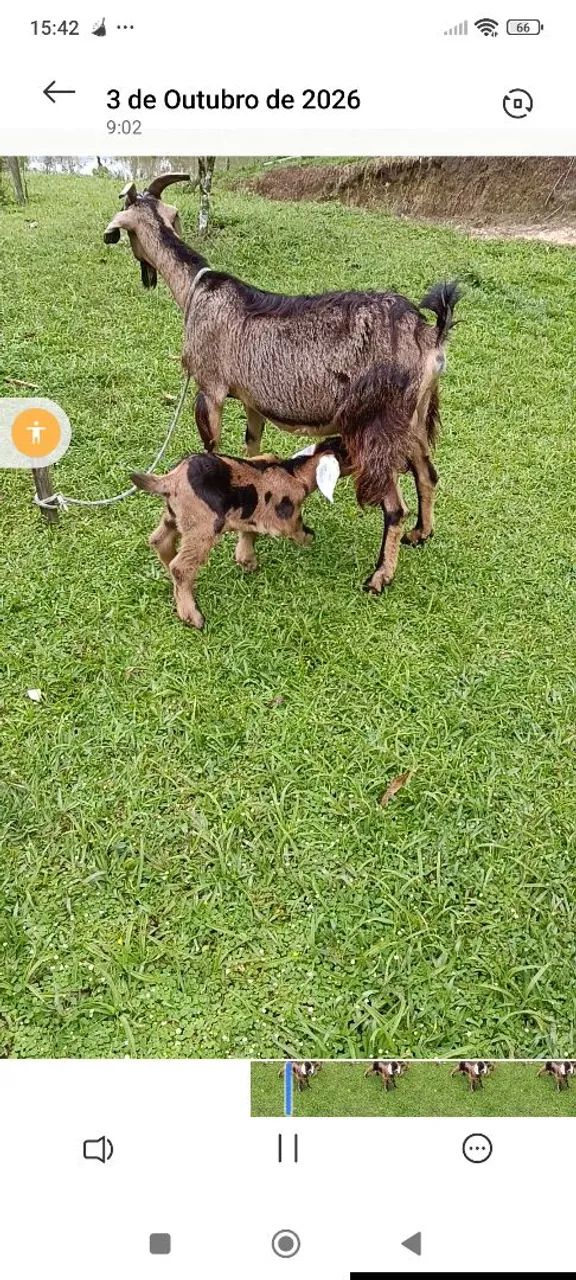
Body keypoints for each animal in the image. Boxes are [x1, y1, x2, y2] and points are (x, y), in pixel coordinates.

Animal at [104, 174, 461, 594]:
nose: (145, 275)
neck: (197, 291)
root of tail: (430, 336)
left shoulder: (209, 390)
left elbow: (212, 446)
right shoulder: (253, 402)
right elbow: (251, 449)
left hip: (376, 424)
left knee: (394, 506)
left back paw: (379, 576)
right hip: (415, 417)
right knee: (427, 473)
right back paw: (421, 534)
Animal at [131, 438, 346, 628]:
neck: (293, 472)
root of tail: (169, 480)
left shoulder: (250, 513)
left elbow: (249, 532)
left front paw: (247, 561)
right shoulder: (288, 517)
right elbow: (300, 530)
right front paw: (309, 541)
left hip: (174, 516)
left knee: (160, 541)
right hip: (203, 526)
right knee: (181, 566)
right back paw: (192, 616)